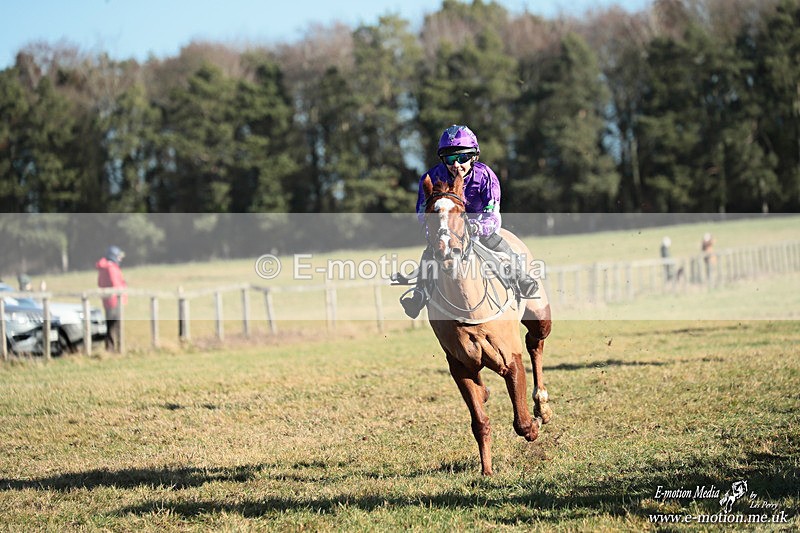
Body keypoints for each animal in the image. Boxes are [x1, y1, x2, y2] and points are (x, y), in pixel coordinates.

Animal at [420, 174, 552, 476]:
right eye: (431, 214)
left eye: (460, 212)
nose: (447, 250)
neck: (467, 303)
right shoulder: (460, 366)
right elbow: (479, 421)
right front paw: (487, 470)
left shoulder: (510, 359)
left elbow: (522, 423)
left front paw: (534, 425)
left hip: (540, 316)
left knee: (535, 343)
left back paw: (542, 404)